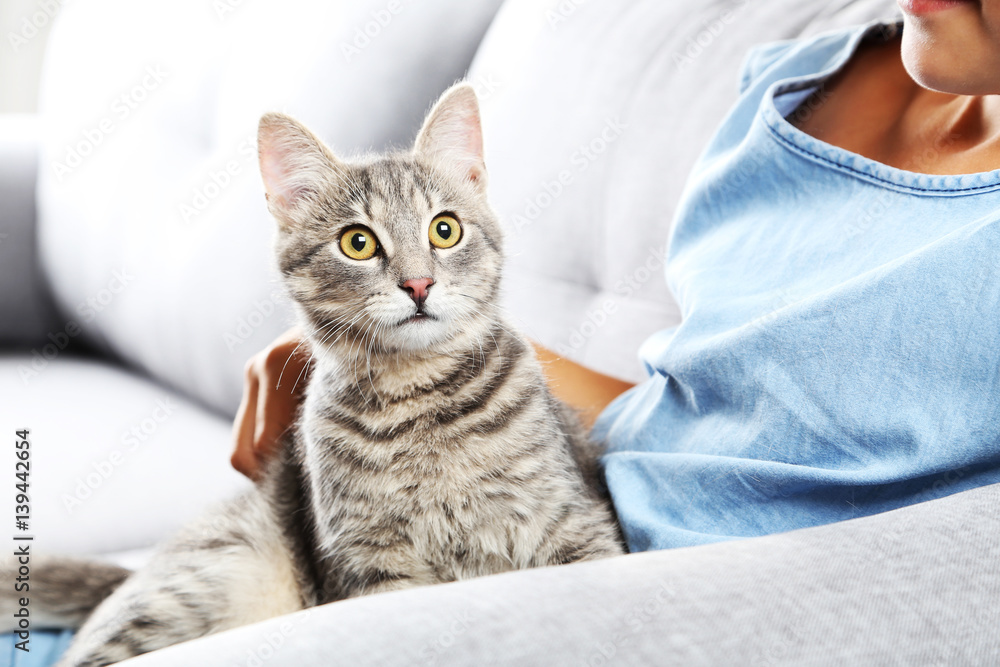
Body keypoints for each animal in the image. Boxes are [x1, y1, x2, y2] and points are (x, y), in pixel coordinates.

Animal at [27, 83, 628, 667]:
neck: (419, 401)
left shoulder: (573, 523)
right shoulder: (368, 564)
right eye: (357, 242)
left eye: (445, 230)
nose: (418, 284)